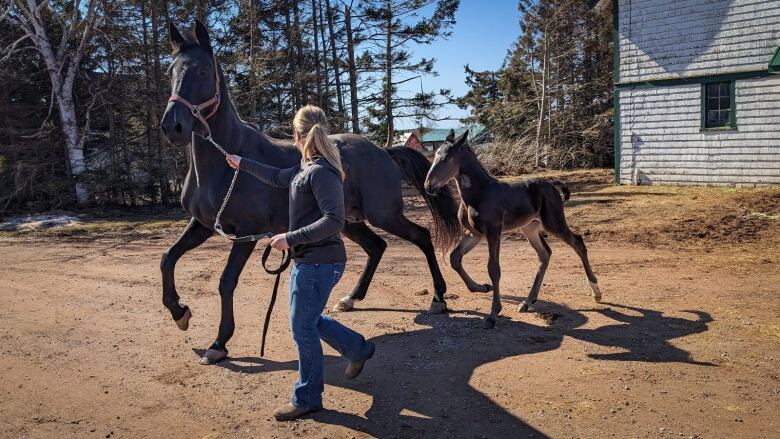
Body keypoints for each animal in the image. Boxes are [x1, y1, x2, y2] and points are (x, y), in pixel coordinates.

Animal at [424, 132, 600, 328]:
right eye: (435, 156)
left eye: (446, 159)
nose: (428, 186)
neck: (479, 193)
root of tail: (552, 184)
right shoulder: (475, 234)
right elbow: (455, 258)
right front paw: (482, 287)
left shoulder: (493, 231)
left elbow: (493, 268)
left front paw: (493, 314)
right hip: (530, 227)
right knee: (544, 254)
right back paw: (527, 302)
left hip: (554, 222)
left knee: (578, 243)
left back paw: (596, 291)